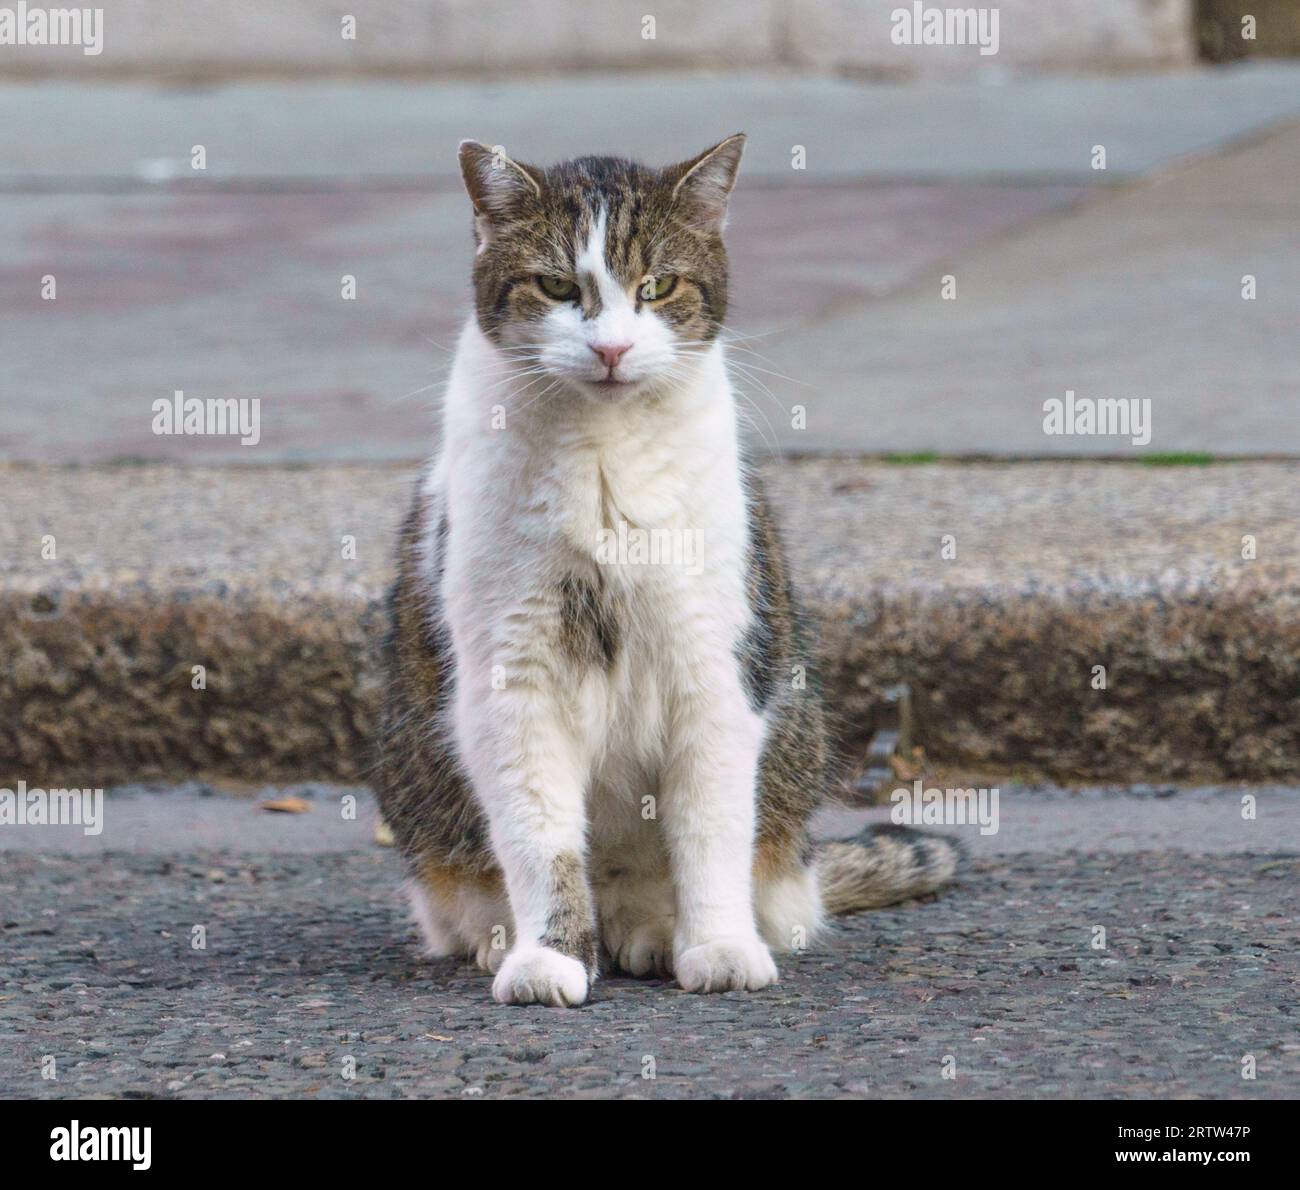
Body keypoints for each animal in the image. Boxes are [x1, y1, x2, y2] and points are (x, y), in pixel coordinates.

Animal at [377, 135, 956, 1004]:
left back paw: (656, 933)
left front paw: (716, 946)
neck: (602, 453)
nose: (613, 348)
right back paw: (508, 937)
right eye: (557, 286)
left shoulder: (711, 669)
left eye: (656, 287)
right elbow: (541, 839)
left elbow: (710, 831)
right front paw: (548, 955)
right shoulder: (514, 678)